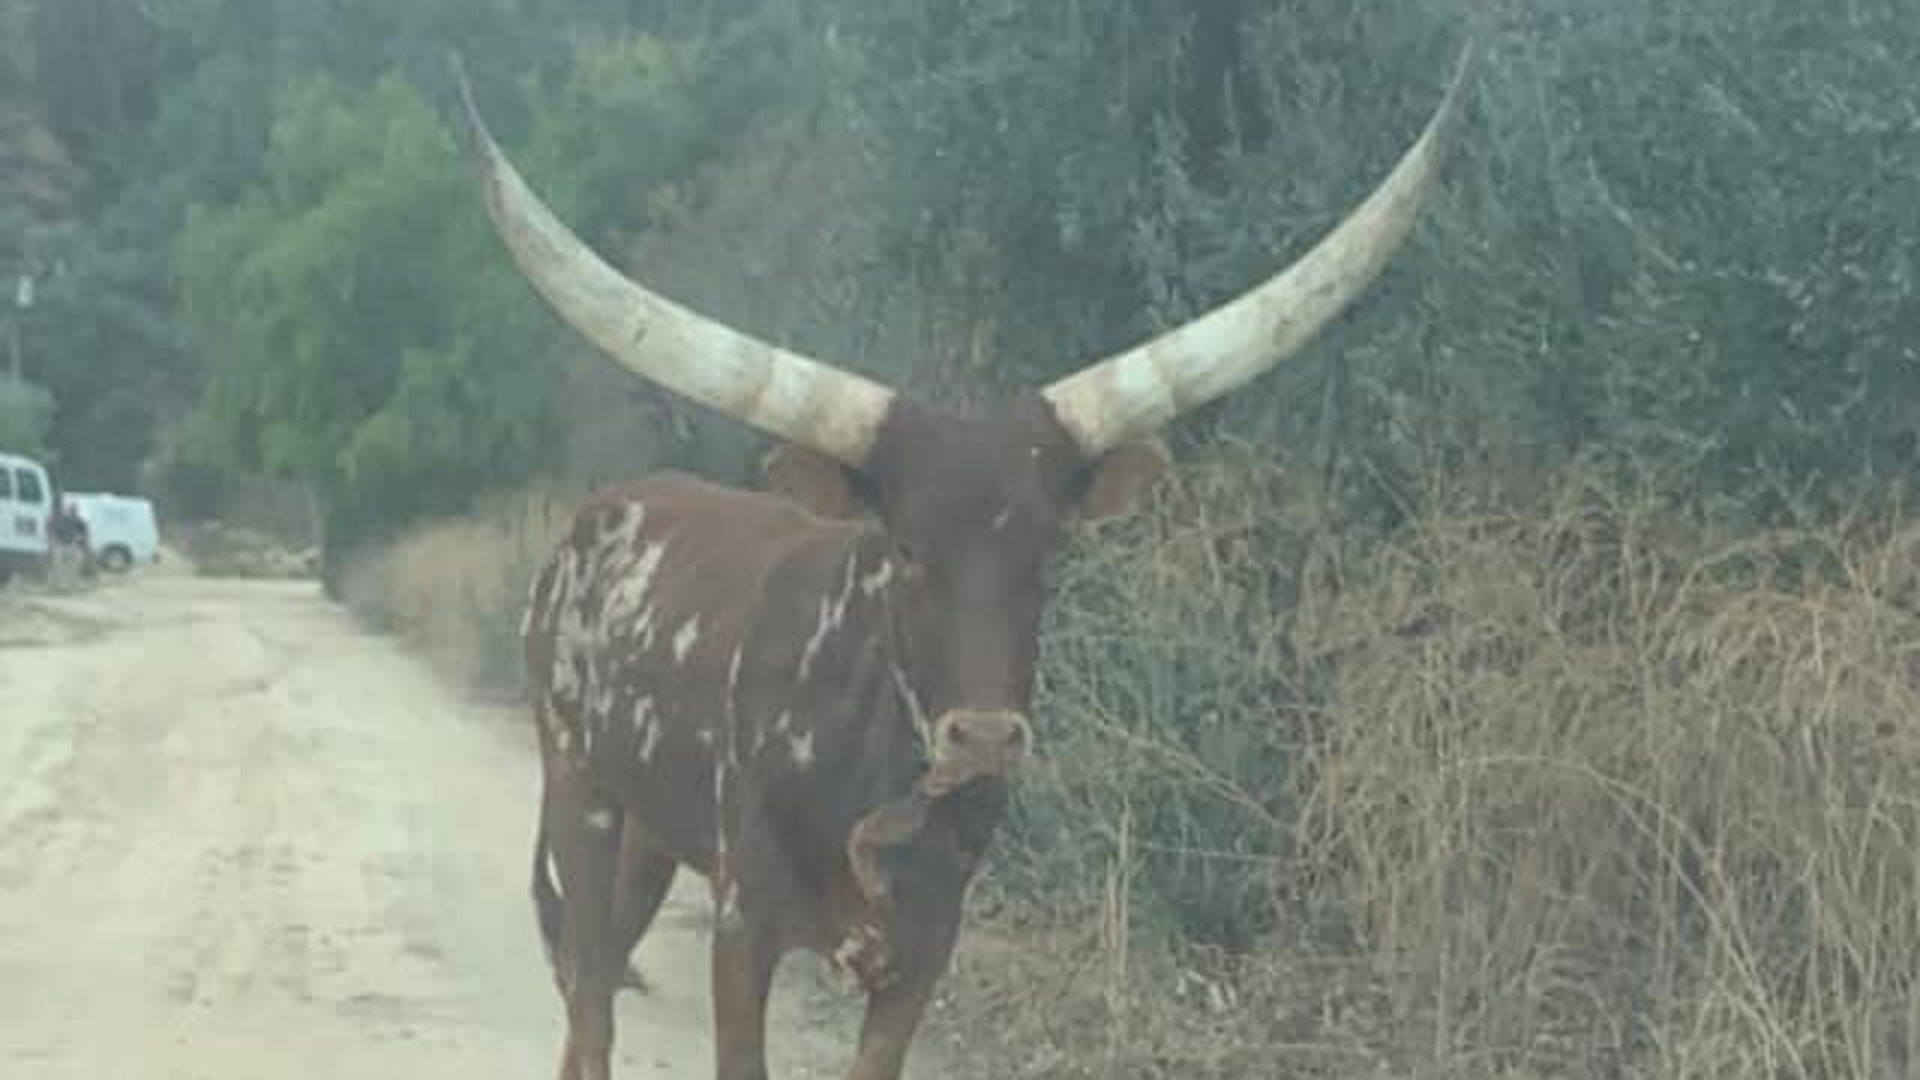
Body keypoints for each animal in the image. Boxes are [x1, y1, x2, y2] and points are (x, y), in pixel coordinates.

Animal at [455, 44, 1470, 1080]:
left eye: (1051, 552)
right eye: (904, 549)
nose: (983, 739)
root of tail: (600, 515)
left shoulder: (925, 949)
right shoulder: (743, 926)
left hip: (654, 832)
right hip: (579, 785)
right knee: (589, 997)